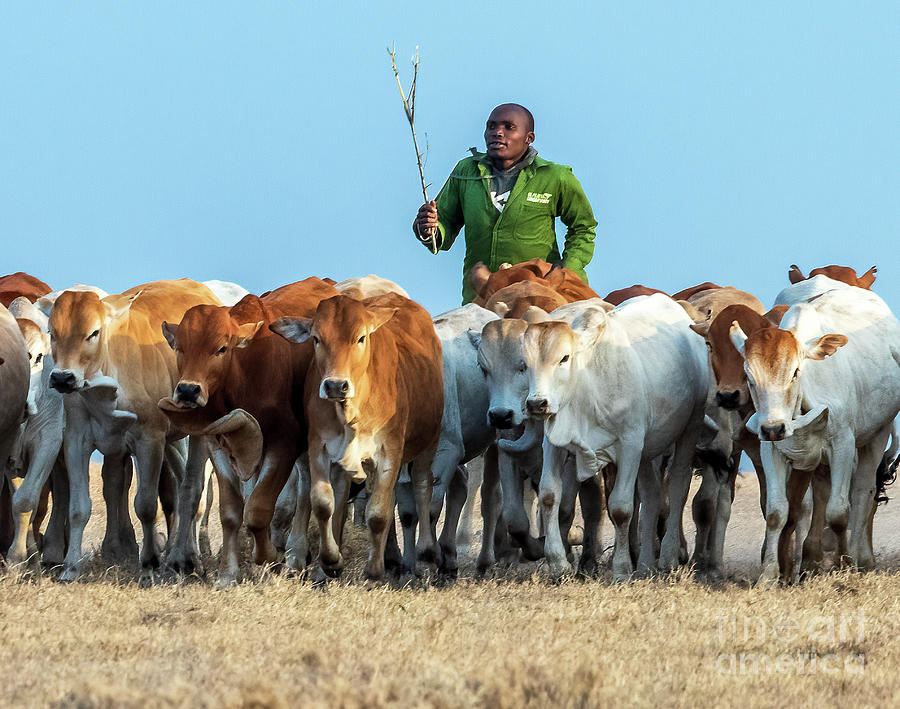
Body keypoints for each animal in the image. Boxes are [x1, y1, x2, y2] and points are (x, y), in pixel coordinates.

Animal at [272, 290, 444, 580]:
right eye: (316, 338)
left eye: (361, 337)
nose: (335, 385)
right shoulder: (319, 447)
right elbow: (323, 503)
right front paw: (331, 561)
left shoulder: (390, 452)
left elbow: (378, 513)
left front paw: (374, 571)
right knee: (343, 498)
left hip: (427, 445)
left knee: (422, 487)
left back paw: (426, 557)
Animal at [520, 296, 712, 580]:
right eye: (525, 363)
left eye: (564, 358)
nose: (537, 403)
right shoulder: (554, 444)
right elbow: (548, 494)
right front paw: (557, 563)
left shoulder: (630, 444)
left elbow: (621, 508)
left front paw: (621, 569)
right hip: (647, 450)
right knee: (652, 495)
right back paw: (645, 564)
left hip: (689, 427)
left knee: (678, 486)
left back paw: (667, 558)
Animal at [732, 284, 900, 584]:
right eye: (750, 378)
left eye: (795, 372)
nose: (773, 427)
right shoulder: (771, 450)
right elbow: (777, 512)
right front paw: (769, 575)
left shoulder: (844, 445)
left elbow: (839, 512)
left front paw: (845, 563)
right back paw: (810, 562)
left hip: (876, 435)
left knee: (863, 493)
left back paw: (862, 559)